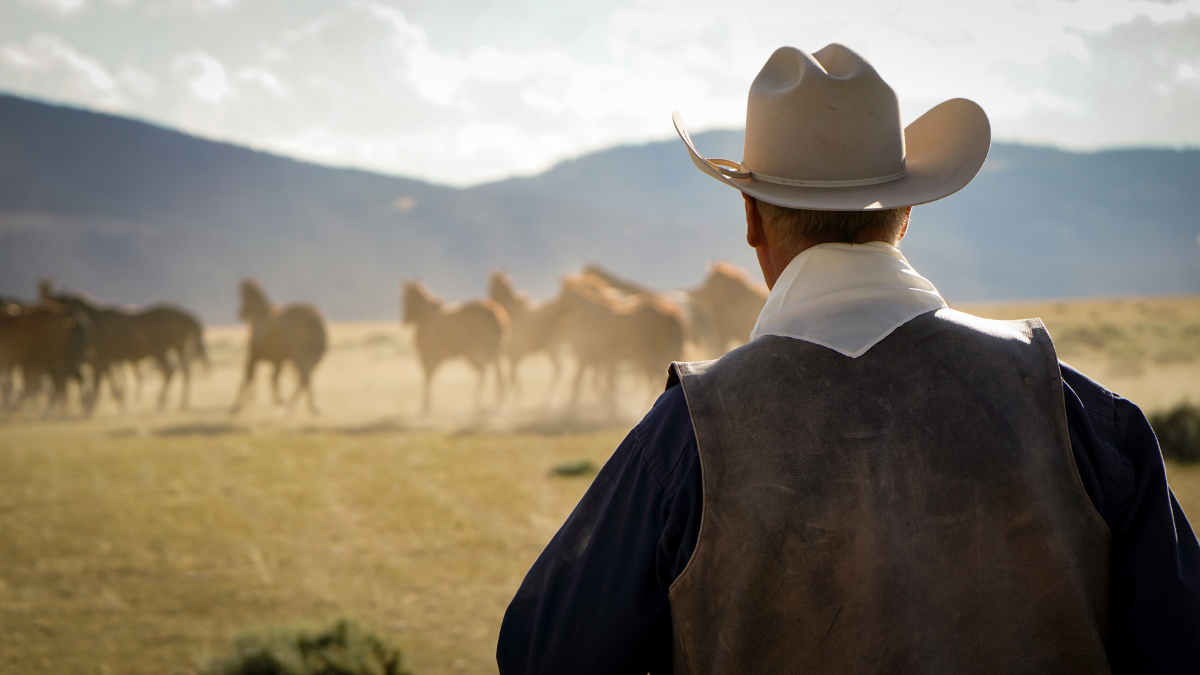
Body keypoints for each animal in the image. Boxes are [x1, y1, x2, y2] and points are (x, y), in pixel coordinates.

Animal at [226, 278, 324, 415]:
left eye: (245, 295)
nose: (241, 314)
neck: (261, 319)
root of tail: (313, 316)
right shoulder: (277, 361)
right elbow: (272, 379)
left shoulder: (254, 356)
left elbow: (248, 378)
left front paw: (237, 406)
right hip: (307, 358)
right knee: (304, 379)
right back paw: (301, 406)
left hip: (299, 359)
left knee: (303, 378)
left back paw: (296, 406)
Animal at [400, 276, 508, 413]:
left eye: (405, 297)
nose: (405, 320)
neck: (427, 318)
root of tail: (494, 312)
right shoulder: (435, 358)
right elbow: (429, 377)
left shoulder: (426, 356)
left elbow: (427, 378)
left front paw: (425, 406)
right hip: (494, 354)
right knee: (497, 374)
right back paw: (496, 401)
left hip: (477, 354)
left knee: (483, 373)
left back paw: (478, 402)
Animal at [484, 270, 564, 401]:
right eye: (490, 285)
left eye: (493, 286)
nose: (491, 302)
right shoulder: (512, 353)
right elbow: (511, 373)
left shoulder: (514, 352)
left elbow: (511, 374)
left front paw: (515, 396)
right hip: (554, 349)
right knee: (558, 369)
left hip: (551, 348)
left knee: (558, 369)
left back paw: (547, 397)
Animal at [552, 273, 686, 415]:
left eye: (561, 296)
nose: (555, 317)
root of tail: (672, 315)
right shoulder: (605, 361)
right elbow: (604, 384)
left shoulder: (606, 359)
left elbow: (605, 384)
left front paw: (612, 411)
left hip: (656, 357)